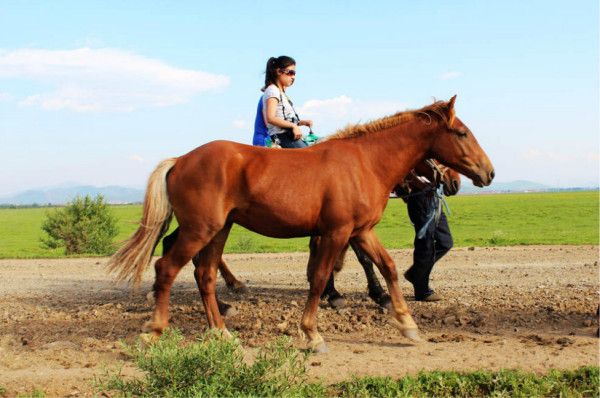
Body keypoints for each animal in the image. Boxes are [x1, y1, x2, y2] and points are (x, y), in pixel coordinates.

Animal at [106, 95, 492, 352]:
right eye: (461, 133)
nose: (488, 172)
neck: (365, 162)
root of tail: (181, 159)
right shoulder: (336, 232)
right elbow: (319, 278)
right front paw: (311, 332)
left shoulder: (361, 232)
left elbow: (389, 268)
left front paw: (407, 324)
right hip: (201, 230)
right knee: (167, 267)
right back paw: (156, 328)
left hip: (219, 230)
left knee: (205, 274)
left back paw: (220, 330)